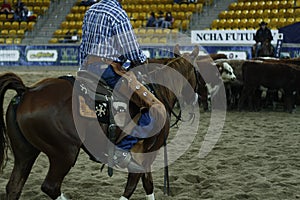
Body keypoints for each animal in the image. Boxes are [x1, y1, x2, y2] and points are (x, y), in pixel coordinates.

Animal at [0, 46, 202, 198]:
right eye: (197, 74)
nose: (196, 100)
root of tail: (27, 91)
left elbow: (148, 185)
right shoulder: (145, 155)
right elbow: (133, 187)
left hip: (25, 153)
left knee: (14, 187)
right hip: (64, 153)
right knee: (51, 187)